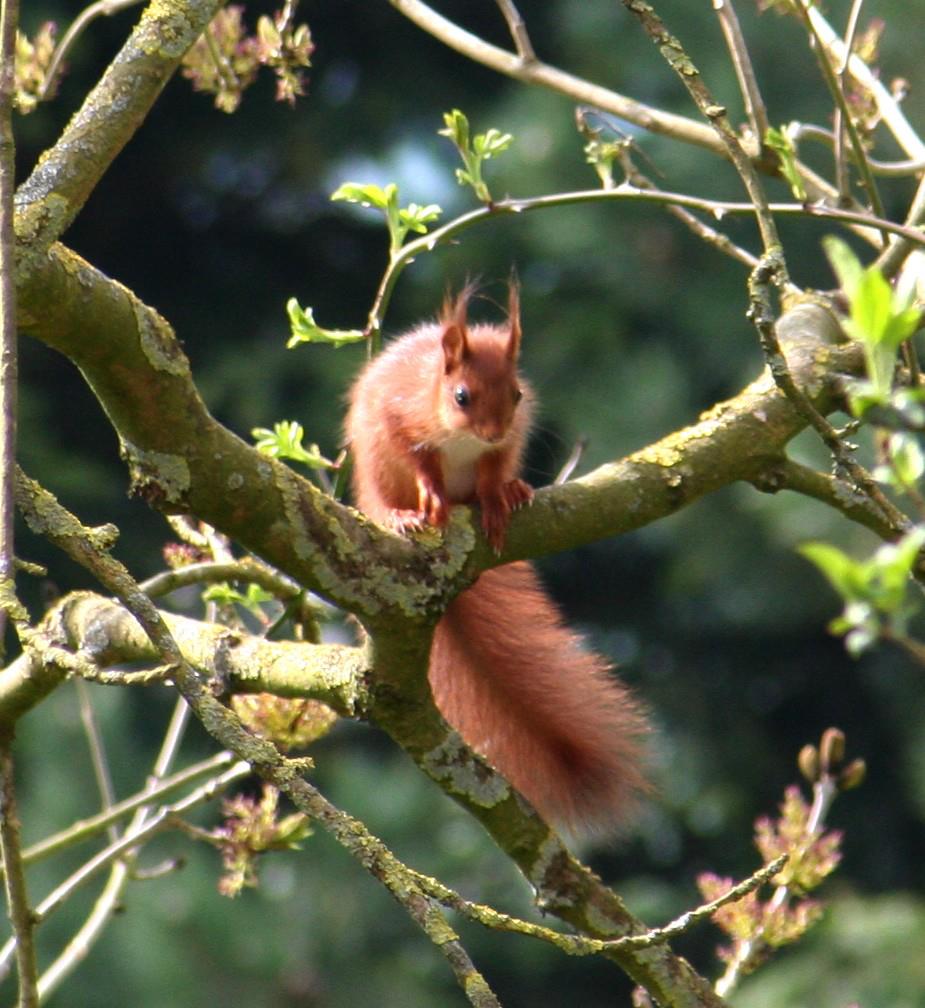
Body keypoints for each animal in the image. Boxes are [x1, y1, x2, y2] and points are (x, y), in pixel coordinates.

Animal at [344, 284, 648, 834]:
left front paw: (497, 493)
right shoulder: (396, 415)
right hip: (375, 472)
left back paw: (510, 491)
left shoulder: (506, 441)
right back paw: (401, 515)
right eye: (461, 396)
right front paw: (429, 496)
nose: (491, 431)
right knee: (386, 493)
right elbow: (419, 459)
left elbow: (491, 468)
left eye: (518, 395)